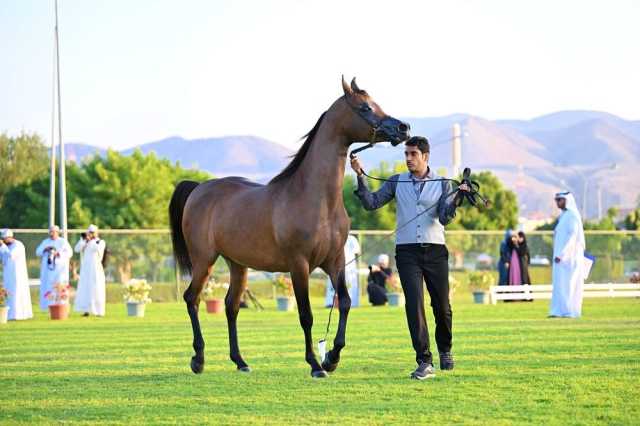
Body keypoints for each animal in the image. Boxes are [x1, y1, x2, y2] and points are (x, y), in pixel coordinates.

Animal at [169, 75, 410, 376]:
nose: (403, 128)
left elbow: (344, 302)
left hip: (238, 265)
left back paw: (240, 361)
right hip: (204, 260)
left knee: (231, 306)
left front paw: (332, 357)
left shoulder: (335, 262)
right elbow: (306, 314)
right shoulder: (299, 265)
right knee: (192, 298)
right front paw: (315, 364)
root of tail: (199, 188)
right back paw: (198, 359)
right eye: (365, 107)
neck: (315, 199)